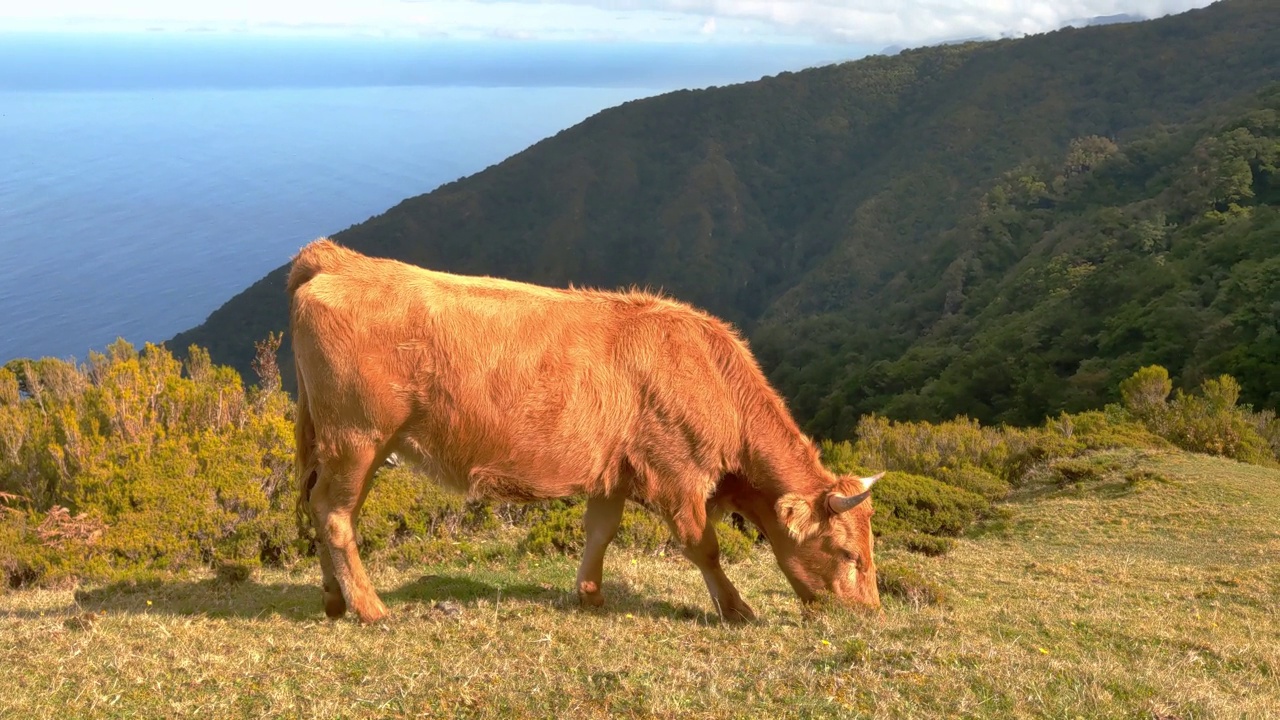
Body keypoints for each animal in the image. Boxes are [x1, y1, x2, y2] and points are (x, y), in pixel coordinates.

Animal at [290, 238, 880, 620]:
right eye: (849, 554)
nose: (870, 611)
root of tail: (338, 259)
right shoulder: (676, 477)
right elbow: (703, 546)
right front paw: (737, 608)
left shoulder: (613, 473)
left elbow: (601, 531)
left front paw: (590, 595)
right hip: (357, 437)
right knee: (335, 515)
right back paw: (370, 608)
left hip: (344, 442)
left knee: (320, 506)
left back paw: (334, 600)